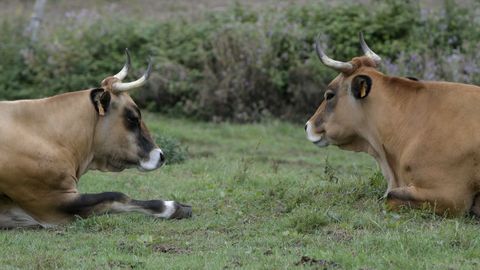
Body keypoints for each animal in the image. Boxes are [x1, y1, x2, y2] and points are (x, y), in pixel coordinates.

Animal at [0, 50, 191, 228]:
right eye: (133, 117)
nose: (160, 155)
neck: (47, 135)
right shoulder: (50, 201)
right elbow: (116, 196)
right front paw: (174, 207)